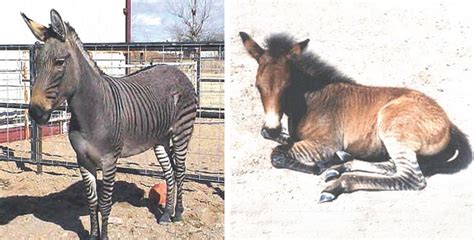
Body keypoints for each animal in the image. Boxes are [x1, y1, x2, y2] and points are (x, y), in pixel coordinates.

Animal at [241, 31, 470, 202]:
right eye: (257, 86)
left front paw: (318, 166)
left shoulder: (324, 144)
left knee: (411, 178)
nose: (272, 128)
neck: (311, 100)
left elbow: (277, 154)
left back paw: (338, 183)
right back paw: (341, 165)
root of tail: (449, 124)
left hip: (392, 128)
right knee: (392, 166)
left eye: (288, 86)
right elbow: (275, 138)